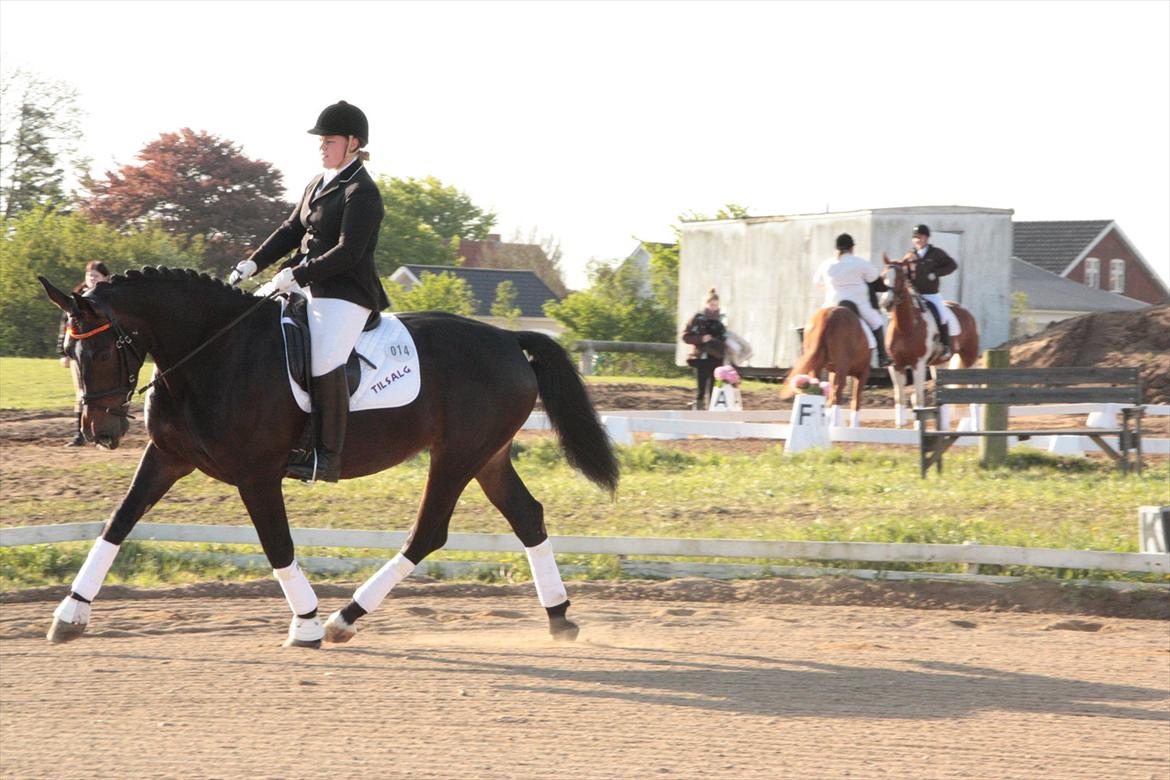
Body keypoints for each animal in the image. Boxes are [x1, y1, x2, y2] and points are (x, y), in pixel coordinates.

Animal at [879, 256, 978, 428]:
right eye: (882, 276)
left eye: (900, 277)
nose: (886, 303)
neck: (906, 326)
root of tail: (965, 311)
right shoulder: (895, 365)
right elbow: (900, 398)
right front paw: (900, 426)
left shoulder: (918, 364)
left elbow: (918, 399)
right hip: (939, 364)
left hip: (969, 358)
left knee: (973, 391)